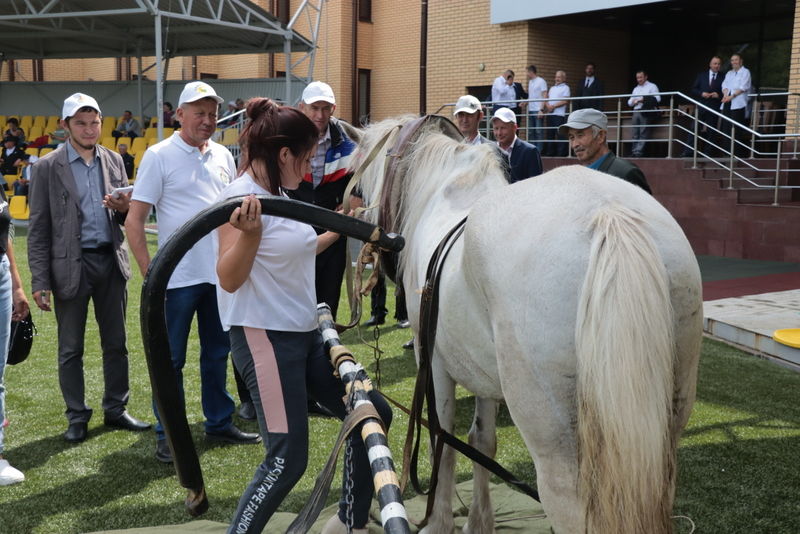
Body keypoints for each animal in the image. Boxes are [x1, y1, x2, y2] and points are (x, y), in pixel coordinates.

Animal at [354, 118, 704, 534]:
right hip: (665, 427)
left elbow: (444, 439)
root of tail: (608, 213)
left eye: (362, 186)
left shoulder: (433, 361)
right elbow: (481, 440)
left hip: (552, 434)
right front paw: (480, 522)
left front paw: (438, 521)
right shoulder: (481, 370)